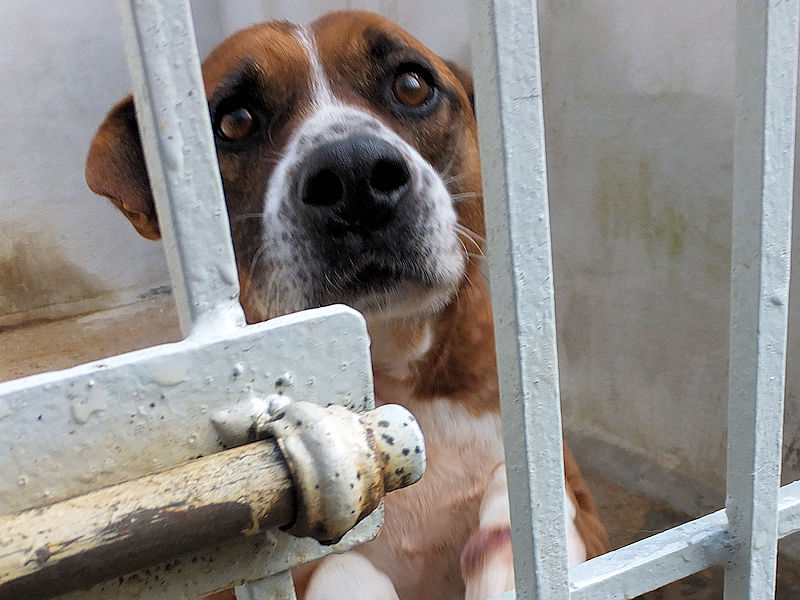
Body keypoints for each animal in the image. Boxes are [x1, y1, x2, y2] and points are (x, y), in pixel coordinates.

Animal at [86, 11, 608, 600]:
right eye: (235, 121)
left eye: (412, 85)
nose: (354, 173)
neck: (395, 374)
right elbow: (341, 566)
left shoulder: (587, 519)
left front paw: (506, 543)